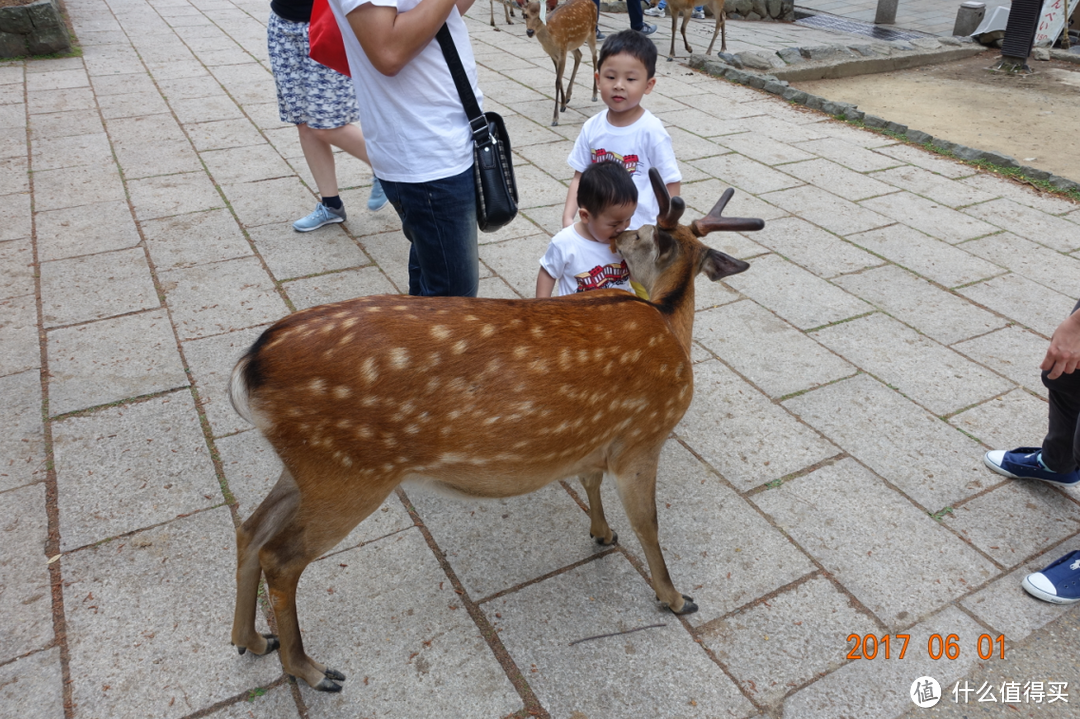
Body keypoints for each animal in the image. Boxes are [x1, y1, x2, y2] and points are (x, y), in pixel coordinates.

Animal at [230, 168, 760, 690]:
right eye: (643, 229)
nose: (619, 236)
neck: (670, 321)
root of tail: (250, 364)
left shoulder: (597, 438)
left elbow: (590, 480)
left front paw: (602, 533)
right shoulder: (643, 437)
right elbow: (649, 523)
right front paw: (675, 597)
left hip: (310, 465)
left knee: (251, 529)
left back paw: (252, 640)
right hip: (348, 473)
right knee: (281, 557)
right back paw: (310, 669)